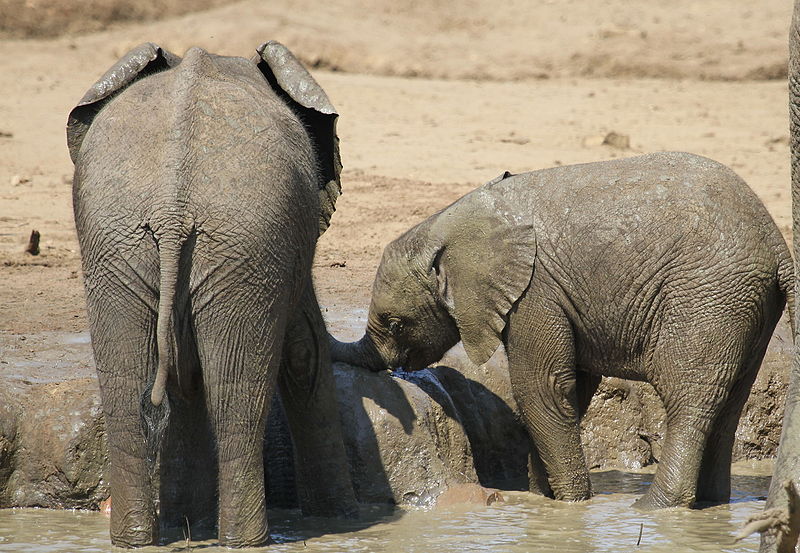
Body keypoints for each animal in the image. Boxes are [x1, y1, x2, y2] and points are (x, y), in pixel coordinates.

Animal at [69, 41, 356, 544]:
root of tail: (172, 210)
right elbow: (305, 349)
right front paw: (342, 519)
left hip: (127, 247)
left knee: (131, 391)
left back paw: (138, 541)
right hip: (245, 243)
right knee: (235, 401)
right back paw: (245, 542)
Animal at [332, 151, 792, 508]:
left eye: (396, 325)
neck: (450, 225)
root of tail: (777, 243)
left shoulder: (536, 290)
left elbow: (542, 387)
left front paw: (571, 506)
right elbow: (573, 388)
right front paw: (544, 501)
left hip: (707, 296)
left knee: (687, 395)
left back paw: (654, 507)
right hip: (744, 304)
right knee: (729, 402)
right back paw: (712, 505)